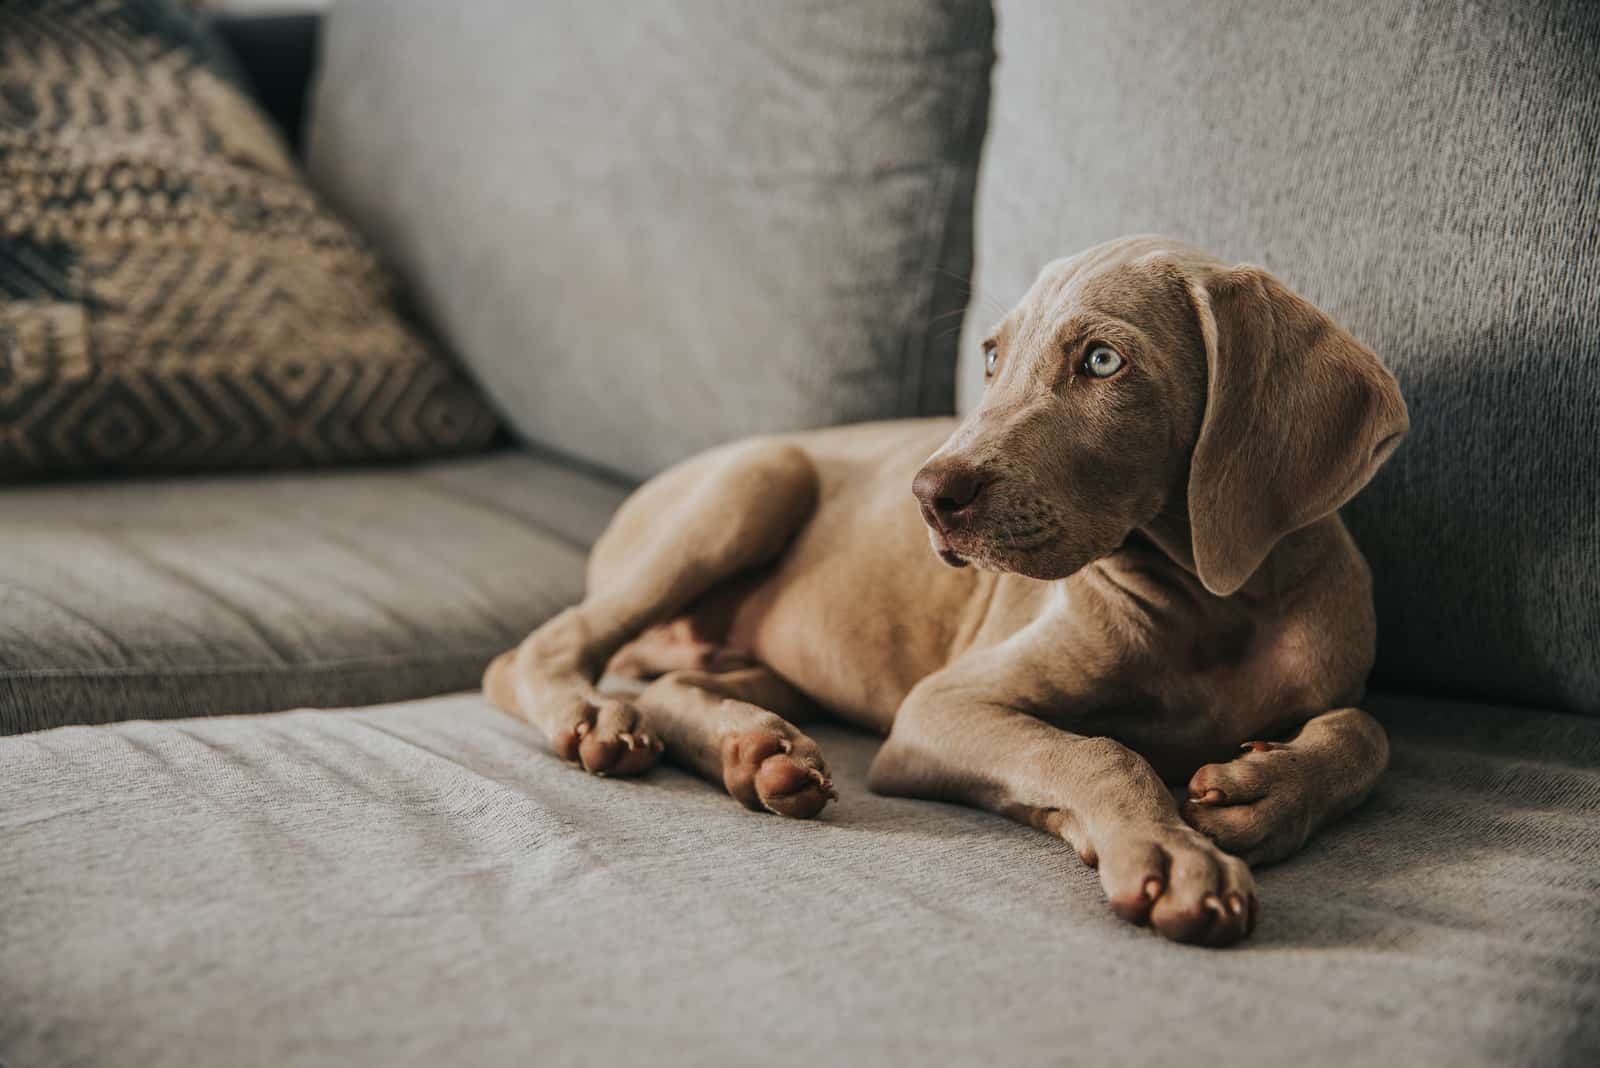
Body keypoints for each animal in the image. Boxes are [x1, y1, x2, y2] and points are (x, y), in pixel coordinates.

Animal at [480, 233, 1408, 940]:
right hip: (759, 477)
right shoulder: (937, 709)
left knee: (674, 684)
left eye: (1103, 360)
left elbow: (1369, 730)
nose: (928, 495)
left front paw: (1269, 790)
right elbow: (1098, 750)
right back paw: (596, 717)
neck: (1214, 609)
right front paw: (1168, 853)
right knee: (538, 651)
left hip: (777, 655)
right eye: (992, 358)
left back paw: (758, 752)